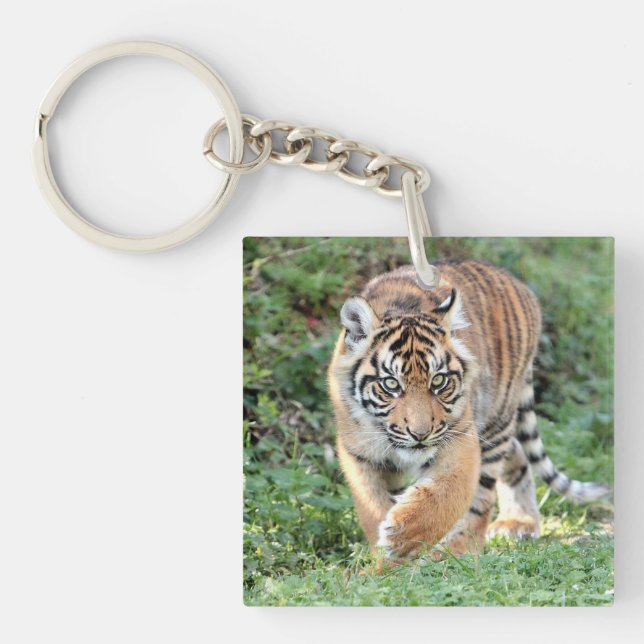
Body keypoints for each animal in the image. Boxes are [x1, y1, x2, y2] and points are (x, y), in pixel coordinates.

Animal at [327, 260, 608, 561]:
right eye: (391, 384)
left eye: (438, 381)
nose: (420, 434)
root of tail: (517, 283)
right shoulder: (359, 453)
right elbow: (372, 506)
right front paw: (385, 558)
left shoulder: (462, 440)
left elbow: (446, 495)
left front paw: (402, 538)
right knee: (518, 456)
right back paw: (519, 521)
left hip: (496, 422)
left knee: (481, 498)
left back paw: (459, 551)